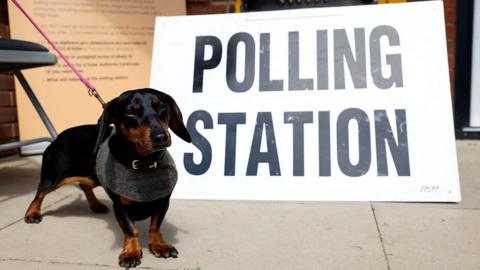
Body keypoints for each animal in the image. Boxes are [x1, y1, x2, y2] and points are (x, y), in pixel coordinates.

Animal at [23, 88, 191, 268]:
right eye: (131, 111)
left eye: (161, 107)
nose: (161, 137)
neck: (143, 164)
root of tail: (58, 137)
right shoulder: (120, 206)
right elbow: (131, 230)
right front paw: (131, 252)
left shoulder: (162, 202)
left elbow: (155, 226)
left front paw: (159, 245)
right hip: (53, 178)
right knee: (40, 192)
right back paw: (32, 213)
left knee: (85, 186)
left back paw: (96, 205)